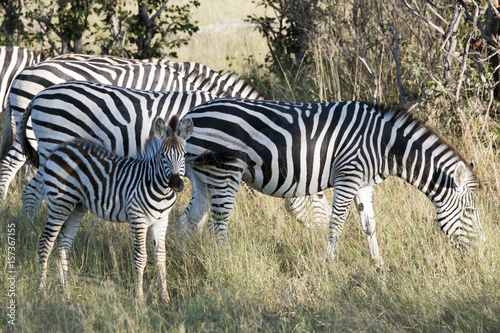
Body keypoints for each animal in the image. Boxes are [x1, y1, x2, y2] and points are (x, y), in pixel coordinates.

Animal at [36, 114, 193, 300]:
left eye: (184, 155)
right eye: (163, 155)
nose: (176, 184)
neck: (161, 189)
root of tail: (60, 148)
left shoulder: (161, 222)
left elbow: (161, 257)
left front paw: (165, 297)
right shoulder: (138, 219)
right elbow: (141, 257)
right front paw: (140, 298)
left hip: (76, 206)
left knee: (63, 242)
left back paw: (66, 291)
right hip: (60, 203)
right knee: (46, 242)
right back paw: (42, 291)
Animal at [179, 97, 484, 264]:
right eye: (470, 211)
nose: (483, 250)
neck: (384, 145)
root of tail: (190, 115)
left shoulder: (362, 183)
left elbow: (369, 225)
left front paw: (379, 266)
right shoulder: (347, 176)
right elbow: (336, 224)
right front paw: (329, 265)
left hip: (201, 176)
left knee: (190, 219)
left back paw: (190, 261)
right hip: (225, 172)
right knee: (219, 225)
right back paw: (227, 262)